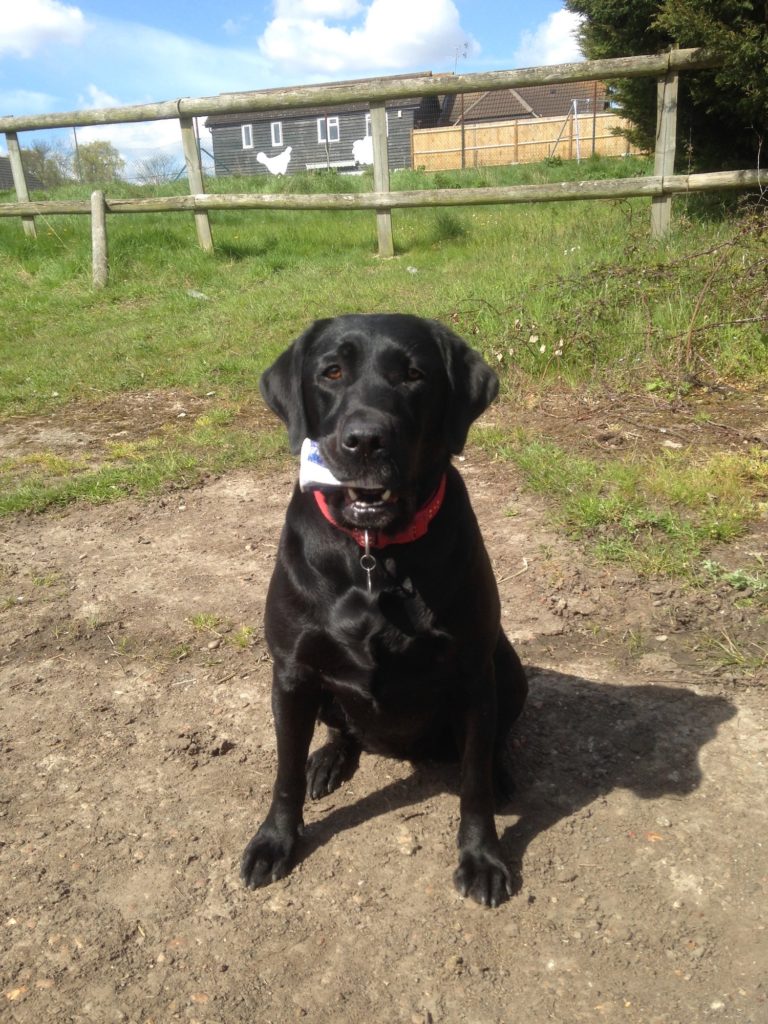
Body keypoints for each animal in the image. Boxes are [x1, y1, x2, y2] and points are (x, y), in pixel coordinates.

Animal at [241, 311, 528, 905]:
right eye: (331, 371)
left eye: (414, 375)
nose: (366, 440)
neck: (374, 552)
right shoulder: (291, 672)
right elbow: (284, 773)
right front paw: (275, 840)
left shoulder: (472, 673)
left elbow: (472, 784)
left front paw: (482, 857)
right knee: (341, 730)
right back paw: (328, 760)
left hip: (507, 667)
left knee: (490, 744)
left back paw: (501, 773)